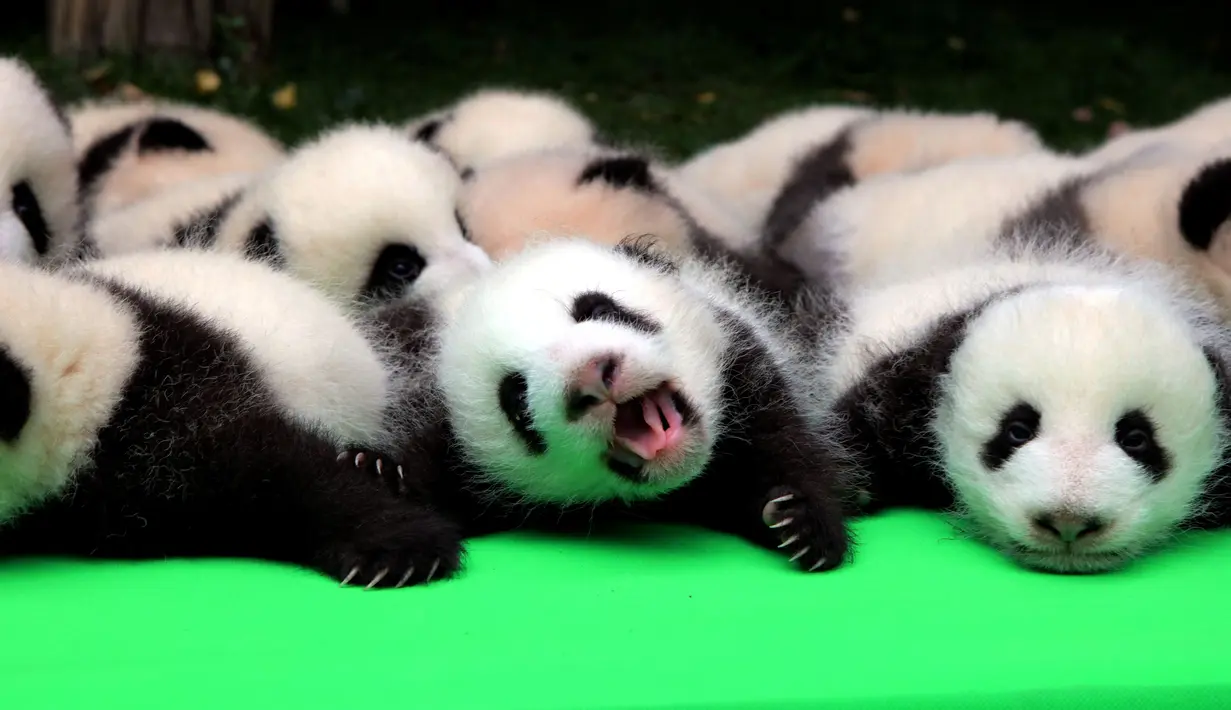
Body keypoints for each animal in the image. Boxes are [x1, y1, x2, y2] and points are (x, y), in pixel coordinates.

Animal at [353, 237, 852, 585]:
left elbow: (786, 446)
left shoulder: (745, 369)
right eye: (516, 400)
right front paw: (383, 486)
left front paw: (800, 521)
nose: (594, 377)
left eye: (599, 308)